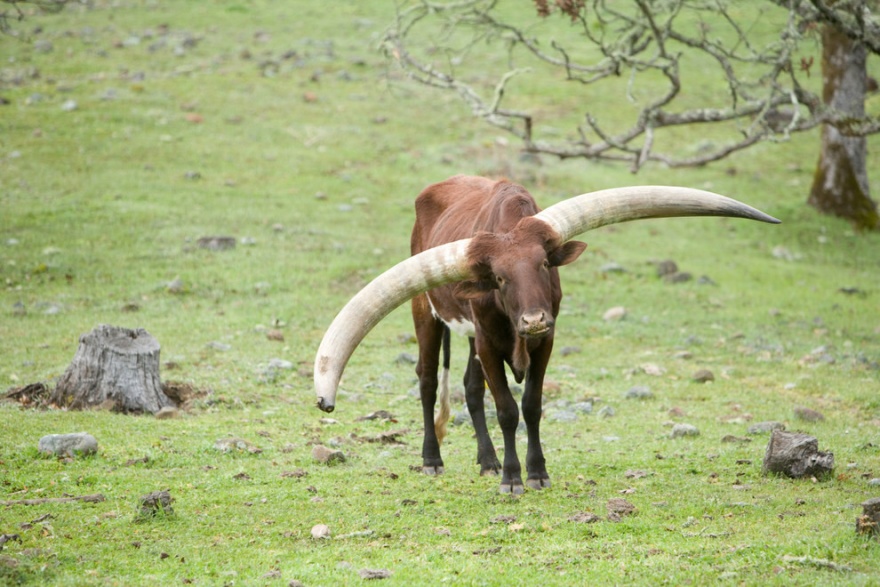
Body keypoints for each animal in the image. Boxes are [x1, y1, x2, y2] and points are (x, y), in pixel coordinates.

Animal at [314, 177, 776, 494]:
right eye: (499, 278)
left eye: (542, 264)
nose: (533, 319)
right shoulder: (490, 341)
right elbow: (506, 410)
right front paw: (512, 479)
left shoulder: (545, 343)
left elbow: (532, 406)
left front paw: (536, 473)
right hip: (425, 313)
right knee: (428, 380)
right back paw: (433, 460)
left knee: (469, 387)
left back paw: (486, 460)